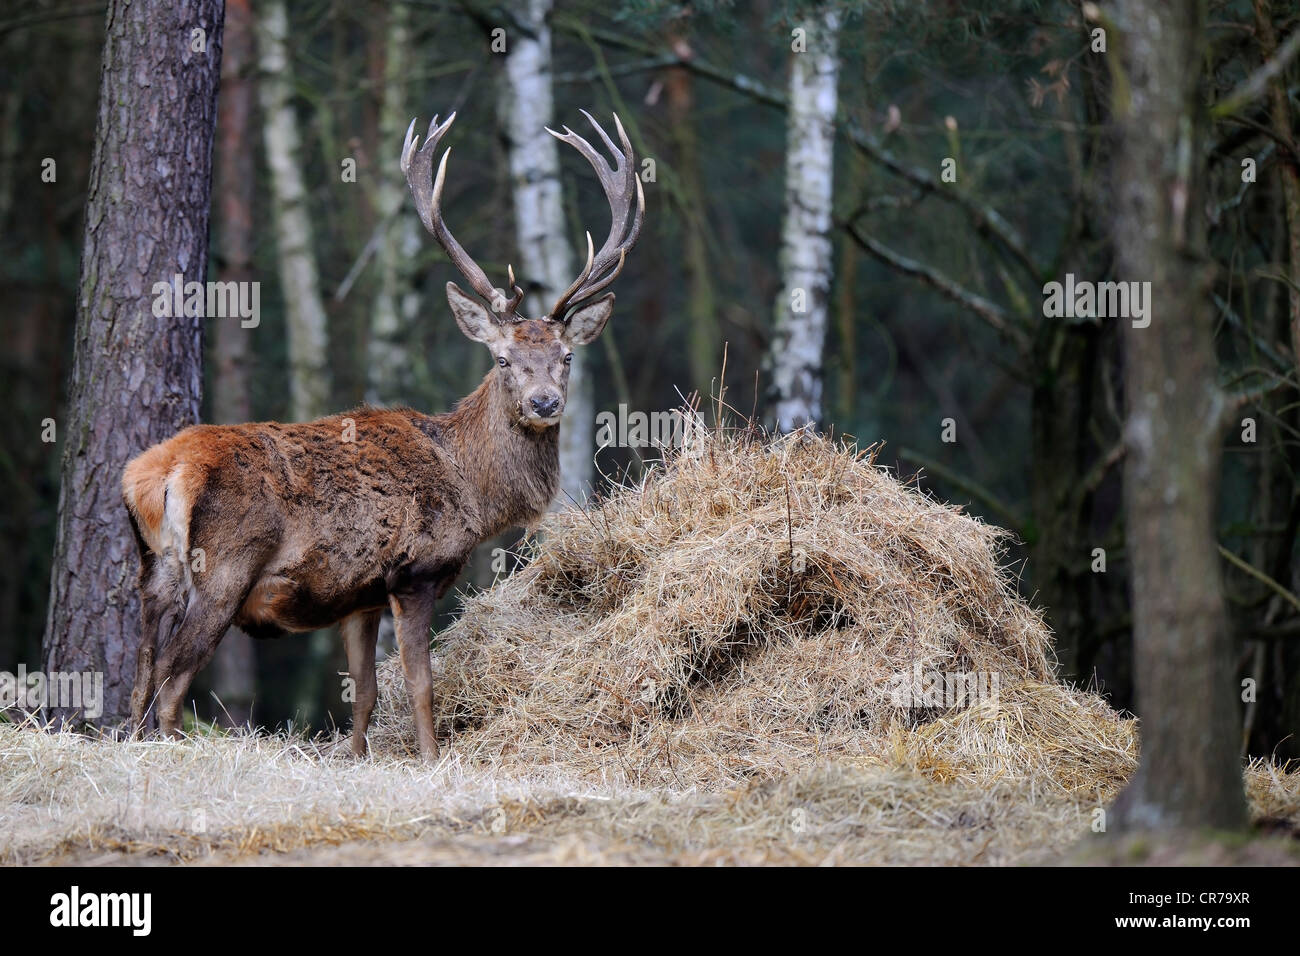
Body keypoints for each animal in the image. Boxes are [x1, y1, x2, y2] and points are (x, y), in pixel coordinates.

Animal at [123, 109, 644, 759]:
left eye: (567, 357)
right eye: (502, 359)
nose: (544, 402)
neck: (472, 490)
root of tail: (158, 473)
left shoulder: (360, 596)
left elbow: (365, 693)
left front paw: (357, 758)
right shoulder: (414, 572)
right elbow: (421, 684)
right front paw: (431, 759)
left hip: (154, 572)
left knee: (140, 678)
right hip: (222, 569)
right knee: (171, 684)